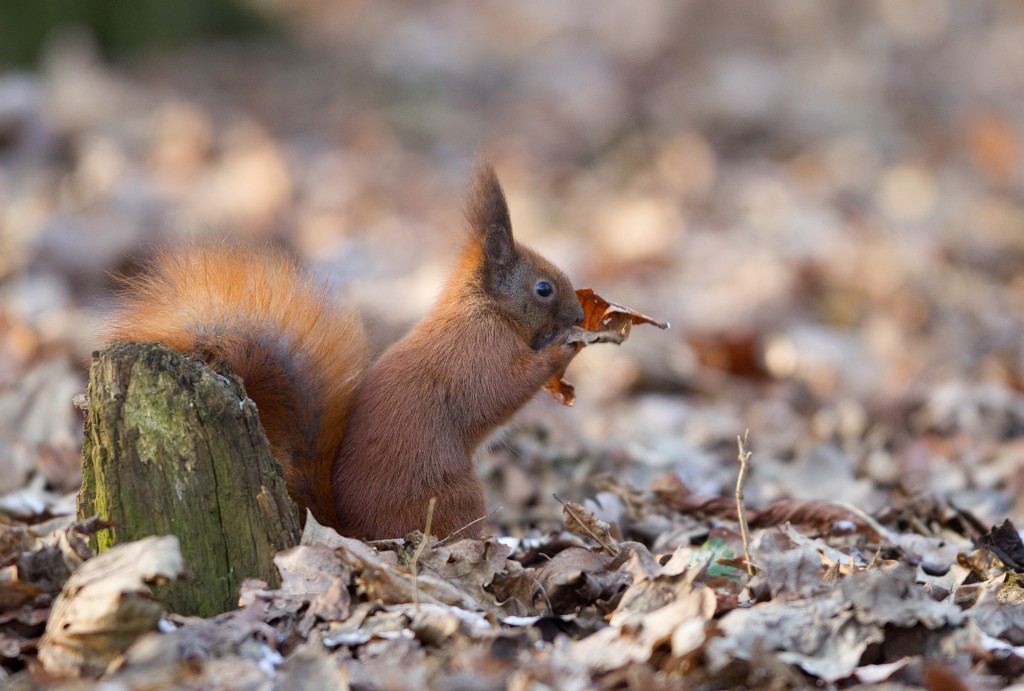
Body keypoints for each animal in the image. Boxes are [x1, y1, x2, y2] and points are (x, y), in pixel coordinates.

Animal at [105, 164, 585, 544]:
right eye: (543, 288)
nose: (581, 313)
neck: (482, 308)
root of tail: (353, 532)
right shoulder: (479, 353)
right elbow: (503, 389)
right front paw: (565, 348)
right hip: (456, 497)